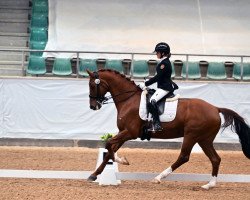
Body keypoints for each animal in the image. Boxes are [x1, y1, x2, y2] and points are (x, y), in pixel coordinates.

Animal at [86, 69, 250, 189]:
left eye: (93, 85)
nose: (93, 106)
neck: (129, 99)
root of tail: (215, 108)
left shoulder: (130, 132)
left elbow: (109, 145)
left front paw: (121, 160)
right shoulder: (123, 132)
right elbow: (109, 151)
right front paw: (94, 174)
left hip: (191, 135)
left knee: (184, 156)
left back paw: (158, 178)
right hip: (204, 139)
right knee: (215, 159)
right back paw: (209, 185)